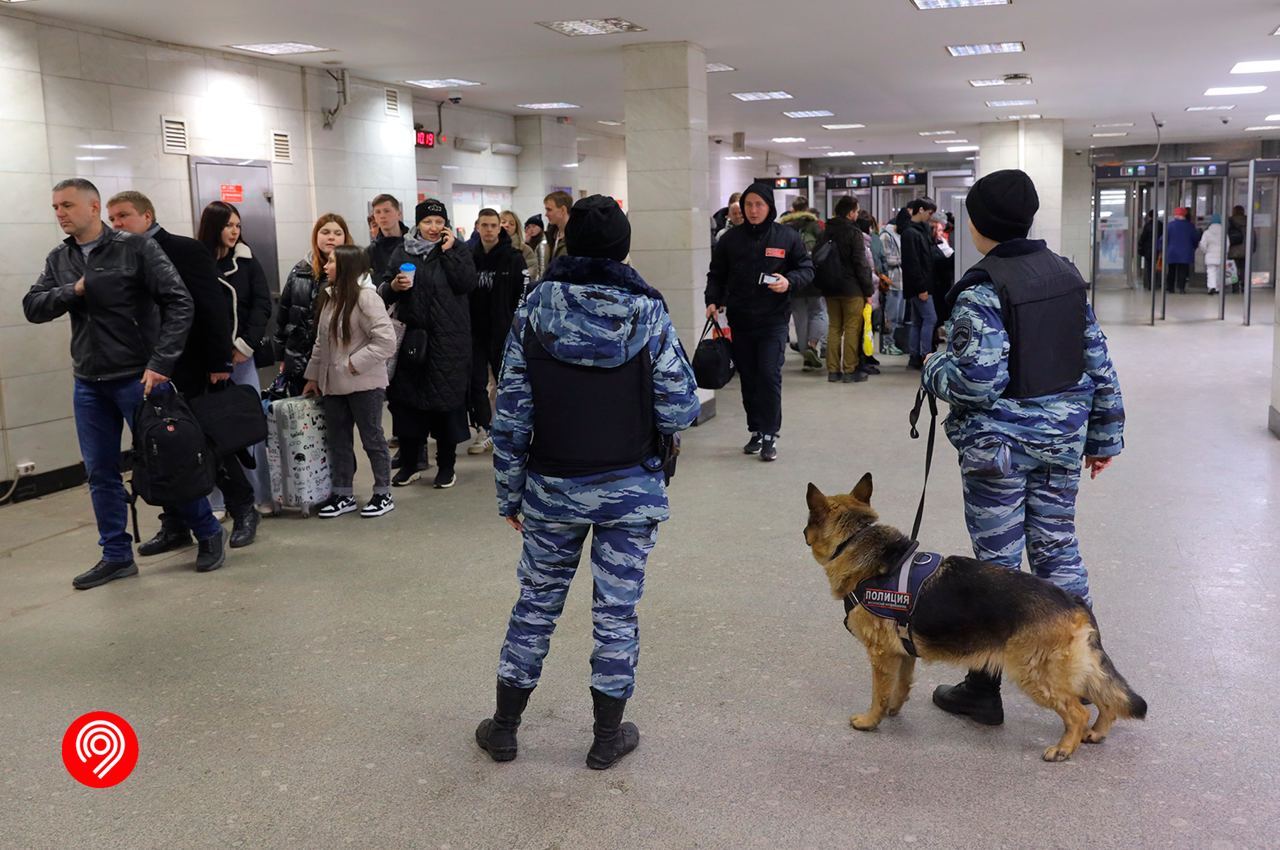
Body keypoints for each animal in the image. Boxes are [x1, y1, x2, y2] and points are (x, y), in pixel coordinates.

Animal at [803, 473, 1146, 757]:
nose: (802, 532)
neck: (855, 541)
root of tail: (1072, 600)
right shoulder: (902, 653)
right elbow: (900, 686)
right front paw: (894, 709)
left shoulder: (880, 655)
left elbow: (879, 692)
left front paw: (870, 720)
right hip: (1069, 668)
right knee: (1106, 699)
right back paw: (1096, 733)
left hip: (1035, 673)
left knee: (1078, 711)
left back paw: (1064, 748)